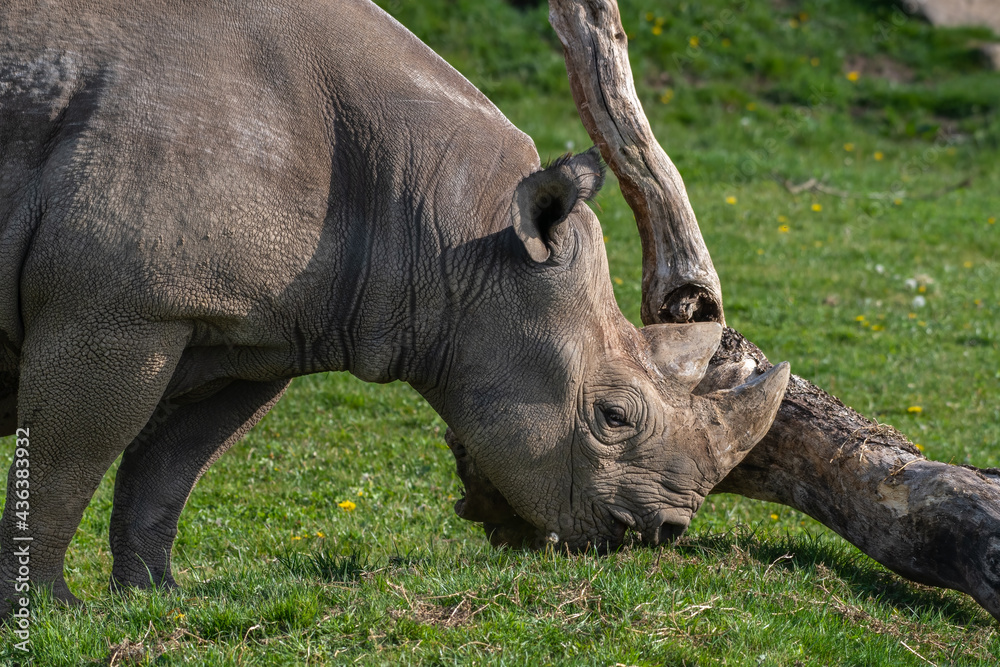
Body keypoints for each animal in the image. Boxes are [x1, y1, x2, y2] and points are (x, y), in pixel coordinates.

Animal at [0, 0, 789, 610]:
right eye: (614, 416)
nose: (666, 532)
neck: (453, 228)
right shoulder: (119, 309)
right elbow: (68, 456)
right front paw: (52, 607)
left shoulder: (252, 332)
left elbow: (171, 465)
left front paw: (155, 597)